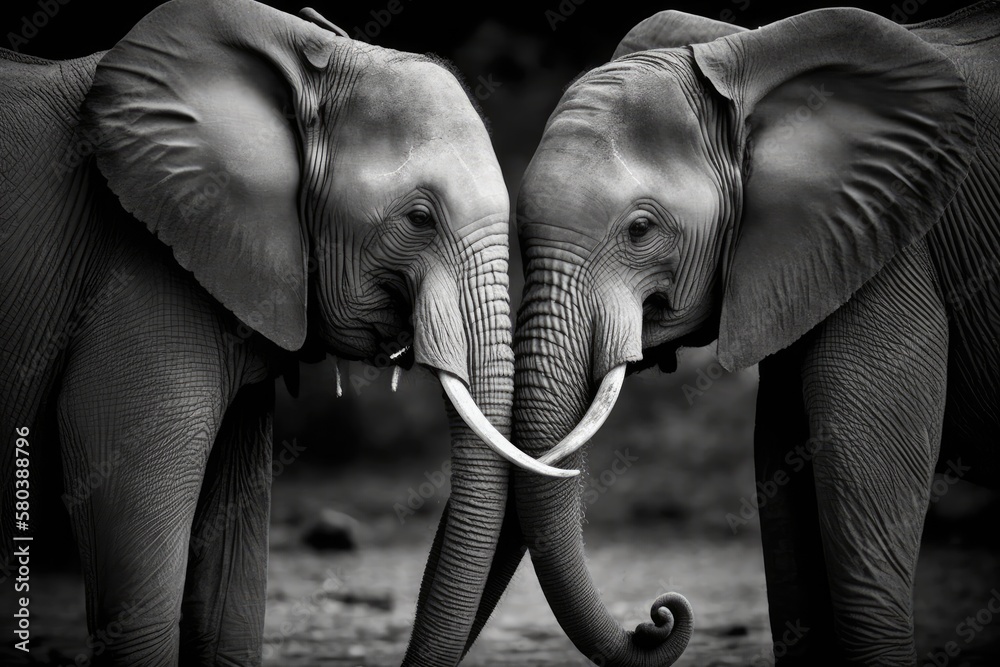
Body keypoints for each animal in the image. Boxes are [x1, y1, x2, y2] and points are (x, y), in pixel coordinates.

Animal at [504, 5, 1000, 667]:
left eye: (640, 229)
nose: (658, 615)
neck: (748, 57)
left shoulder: (893, 247)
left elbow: (860, 508)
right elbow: (786, 498)